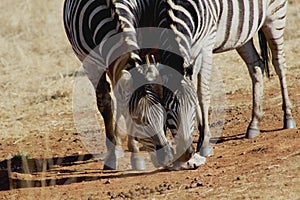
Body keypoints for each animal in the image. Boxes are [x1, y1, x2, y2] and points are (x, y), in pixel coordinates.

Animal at [62, 0, 202, 170]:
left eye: (163, 115)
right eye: (137, 120)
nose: (168, 157)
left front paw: (135, 155)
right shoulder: (91, 65)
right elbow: (105, 104)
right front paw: (112, 156)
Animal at [164, 0, 298, 157]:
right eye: (167, 110)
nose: (185, 152)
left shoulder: (206, 44)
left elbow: (202, 93)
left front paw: (205, 143)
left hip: (275, 16)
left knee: (279, 64)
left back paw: (288, 117)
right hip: (242, 32)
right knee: (256, 66)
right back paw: (254, 124)